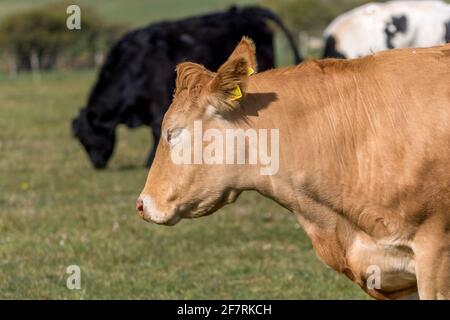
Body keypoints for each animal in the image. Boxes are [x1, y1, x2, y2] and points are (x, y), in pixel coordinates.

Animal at [71, 6, 302, 169]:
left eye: (89, 136)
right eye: (80, 139)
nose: (97, 164)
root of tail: (246, 11)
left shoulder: (158, 102)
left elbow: (157, 130)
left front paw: (150, 161)